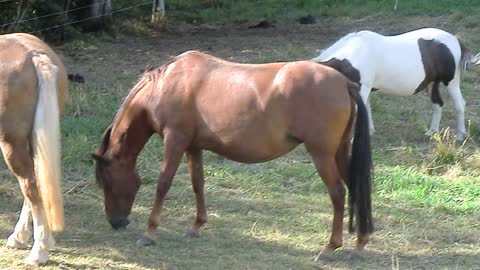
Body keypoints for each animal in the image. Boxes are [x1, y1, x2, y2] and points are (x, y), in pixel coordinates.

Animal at [92, 50, 374, 260]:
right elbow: (198, 183)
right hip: (339, 152)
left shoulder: (175, 141)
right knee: (356, 188)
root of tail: (344, 82)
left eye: (106, 181)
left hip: (321, 154)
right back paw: (361, 243)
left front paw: (149, 233)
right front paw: (196, 225)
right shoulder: (193, 147)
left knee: (338, 193)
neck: (167, 84)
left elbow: (163, 184)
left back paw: (329, 248)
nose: (116, 222)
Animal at [312, 27, 480, 141]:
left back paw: (460, 135)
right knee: (437, 104)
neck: (352, 54)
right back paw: (432, 131)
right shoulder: (364, 90)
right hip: (432, 83)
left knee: (459, 104)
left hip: (451, 81)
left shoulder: (362, 88)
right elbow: (366, 110)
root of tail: (454, 39)